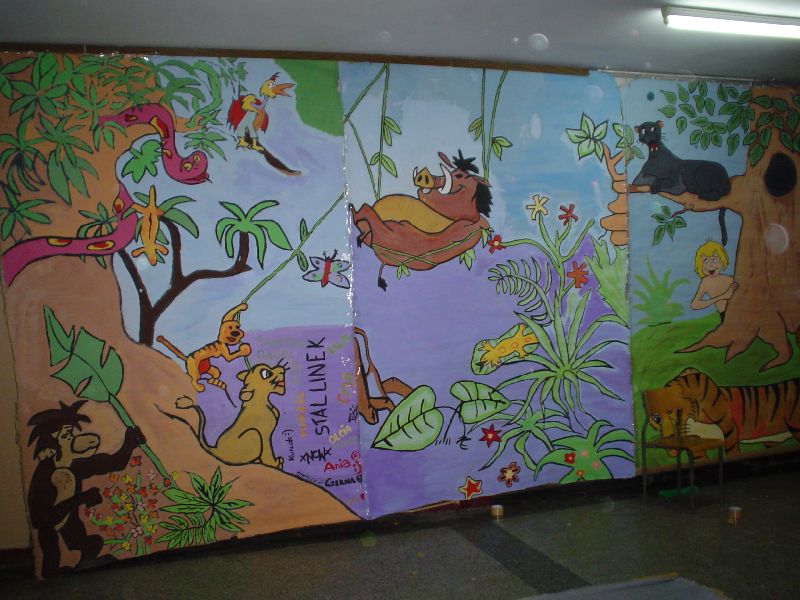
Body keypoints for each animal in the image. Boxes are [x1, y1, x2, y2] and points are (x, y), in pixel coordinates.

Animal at [646, 368, 800, 458]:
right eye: (657, 418)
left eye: (676, 411)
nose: (669, 443)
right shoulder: (696, 443)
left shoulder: (730, 430)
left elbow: (732, 452)